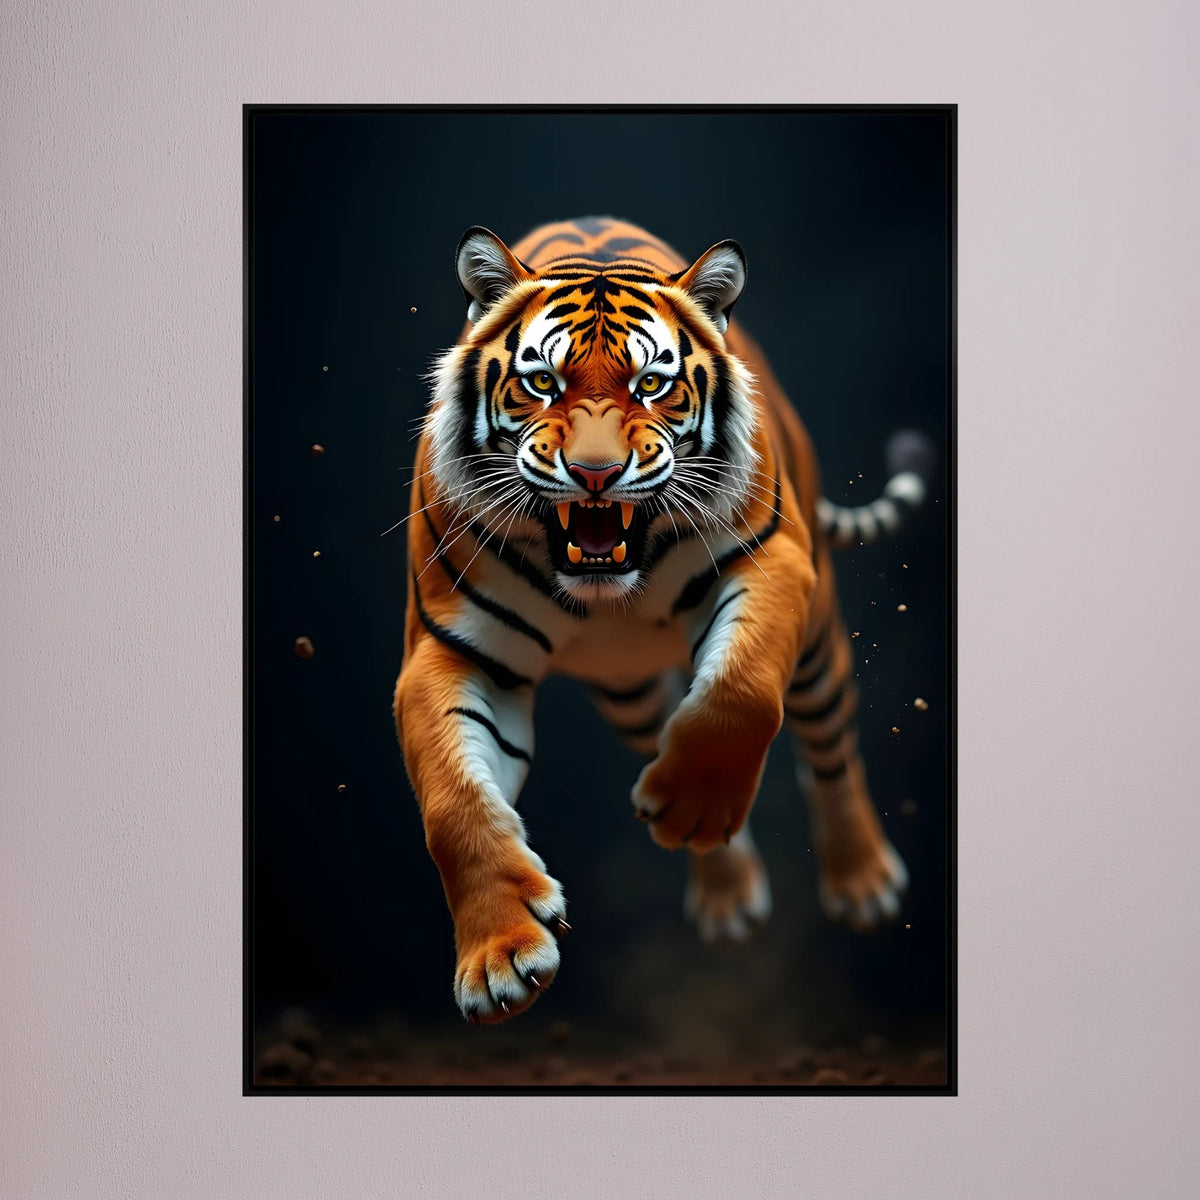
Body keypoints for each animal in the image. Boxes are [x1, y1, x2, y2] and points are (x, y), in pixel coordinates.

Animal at [393, 216, 932, 1024]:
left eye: (652, 384)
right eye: (542, 382)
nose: (595, 474)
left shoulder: (773, 564)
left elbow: (741, 692)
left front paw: (695, 805)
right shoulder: (448, 650)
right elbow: (452, 804)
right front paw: (500, 960)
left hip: (818, 649)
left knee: (829, 749)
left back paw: (861, 881)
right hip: (626, 691)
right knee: (665, 726)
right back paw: (725, 894)